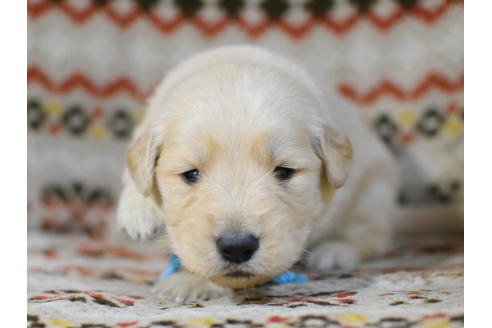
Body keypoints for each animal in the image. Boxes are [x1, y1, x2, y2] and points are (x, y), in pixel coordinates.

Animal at [116, 44, 400, 302]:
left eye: (284, 171)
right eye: (191, 174)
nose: (237, 247)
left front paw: (192, 281)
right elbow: (134, 167)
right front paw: (138, 210)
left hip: (375, 189)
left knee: (373, 234)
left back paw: (336, 250)